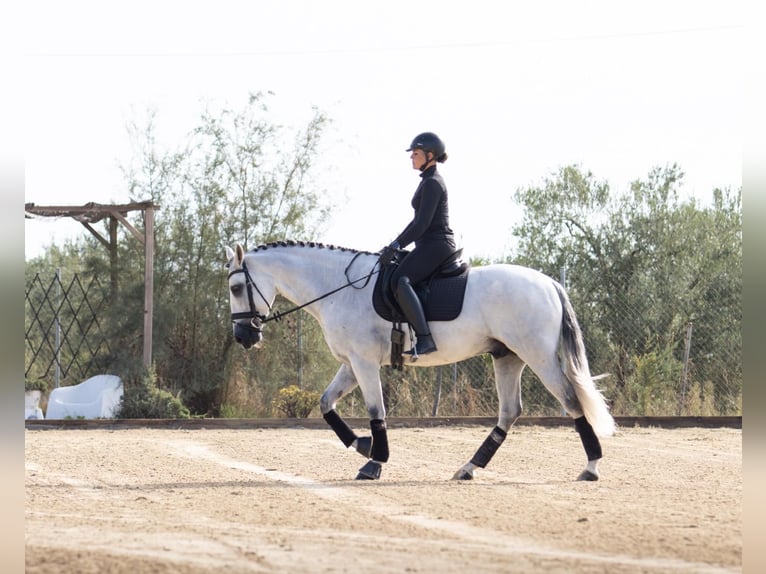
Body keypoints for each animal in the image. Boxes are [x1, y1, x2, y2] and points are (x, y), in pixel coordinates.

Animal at [224, 241, 616, 484]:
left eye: (235, 288)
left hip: (538, 355)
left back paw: (592, 467)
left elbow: (376, 410)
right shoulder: (351, 363)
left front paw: (374, 461)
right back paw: (468, 468)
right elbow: (325, 404)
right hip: (508, 358)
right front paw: (363, 445)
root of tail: (549, 283)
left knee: (571, 400)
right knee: (509, 412)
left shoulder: (364, 363)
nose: (244, 337)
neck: (338, 288)